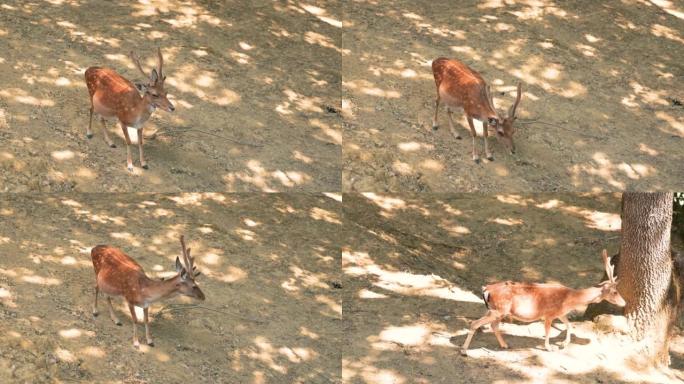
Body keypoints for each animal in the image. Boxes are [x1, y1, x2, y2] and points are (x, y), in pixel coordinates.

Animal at [460, 250, 624, 356]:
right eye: (615, 291)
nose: (624, 303)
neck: (569, 299)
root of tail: (486, 289)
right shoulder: (549, 314)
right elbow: (548, 331)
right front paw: (549, 348)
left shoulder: (560, 313)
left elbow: (569, 325)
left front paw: (563, 344)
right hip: (498, 309)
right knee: (475, 323)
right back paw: (464, 351)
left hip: (497, 310)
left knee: (493, 325)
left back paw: (504, 345)